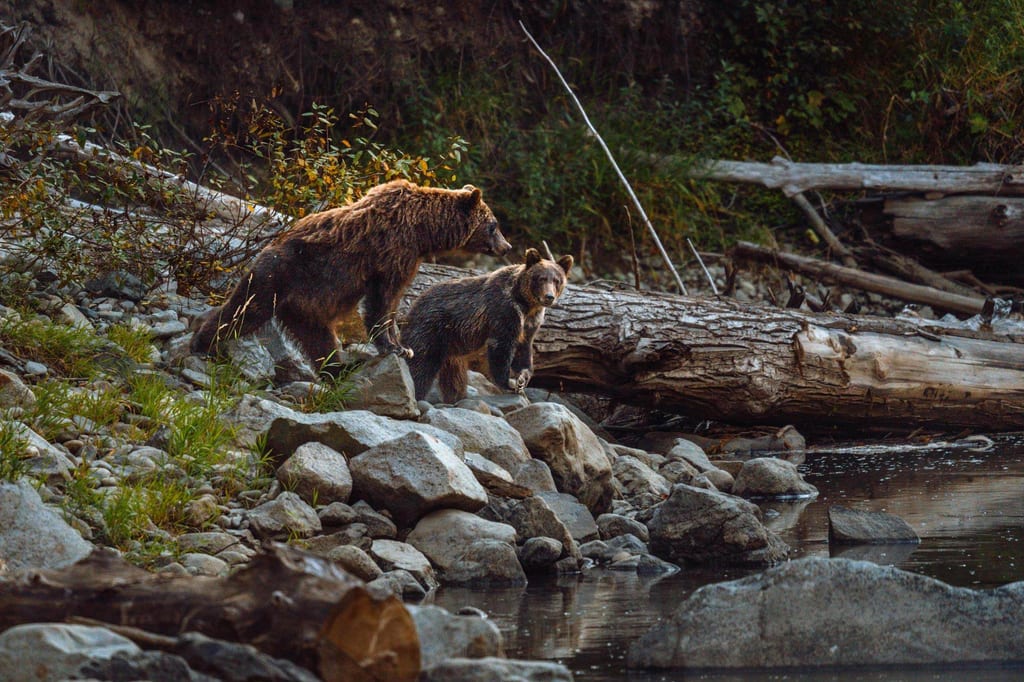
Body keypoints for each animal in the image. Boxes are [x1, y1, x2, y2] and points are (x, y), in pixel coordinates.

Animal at [190, 179, 512, 374]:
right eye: (494, 225)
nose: (507, 247)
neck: (424, 231)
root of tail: (263, 249)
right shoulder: (394, 251)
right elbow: (384, 300)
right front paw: (397, 346)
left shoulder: (406, 255)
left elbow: (390, 301)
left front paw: (401, 346)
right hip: (278, 277)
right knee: (244, 311)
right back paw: (203, 343)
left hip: (305, 307)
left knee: (319, 341)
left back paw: (338, 370)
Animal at [403, 247, 573, 403]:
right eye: (541, 278)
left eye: (557, 280)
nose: (549, 297)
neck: (526, 305)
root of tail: (413, 305)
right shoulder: (504, 310)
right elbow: (501, 345)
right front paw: (507, 383)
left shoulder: (530, 324)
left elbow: (524, 349)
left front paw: (522, 378)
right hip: (431, 329)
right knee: (421, 365)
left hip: (452, 348)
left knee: (454, 377)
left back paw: (456, 398)